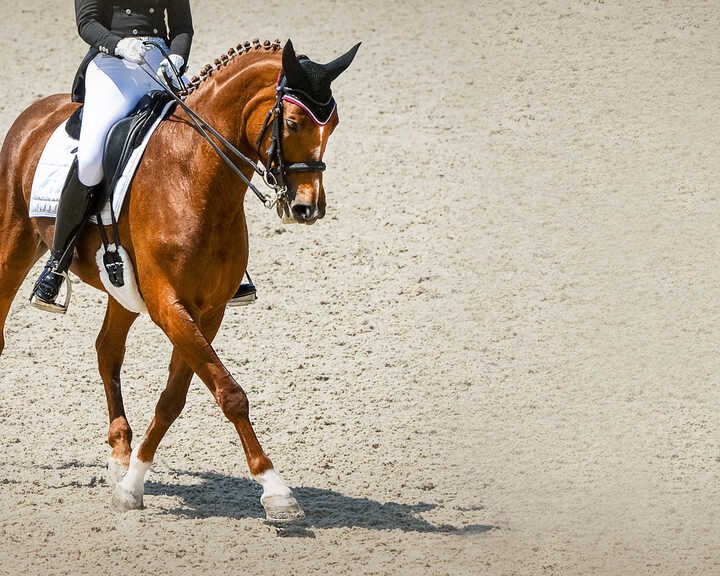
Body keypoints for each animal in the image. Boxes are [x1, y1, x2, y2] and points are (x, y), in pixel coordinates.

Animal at [0, 38, 359, 521]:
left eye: (333, 124)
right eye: (293, 121)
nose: (308, 208)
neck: (194, 176)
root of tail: (35, 111)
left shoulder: (207, 310)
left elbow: (175, 398)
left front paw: (132, 483)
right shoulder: (168, 303)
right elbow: (230, 392)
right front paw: (275, 489)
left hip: (122, 288)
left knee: (107, 350)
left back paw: (119, 455)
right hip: (15, 243)